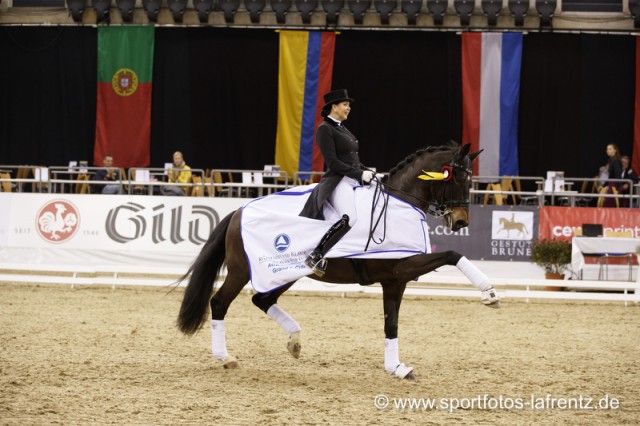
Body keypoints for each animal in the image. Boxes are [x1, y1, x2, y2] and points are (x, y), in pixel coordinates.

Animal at [176, 141, 500, 382]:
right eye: (458, 177)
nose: (460, 222)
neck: (399, 203)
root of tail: (239, 211)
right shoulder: (401, 267)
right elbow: (452, 255)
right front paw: (489, 293)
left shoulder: (395, 280)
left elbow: (391, 324)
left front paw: (396, 368)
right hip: (243, 270)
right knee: (220, 303)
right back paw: (226, 358)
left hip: (287, 271)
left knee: (262, 300)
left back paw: (294, 341)